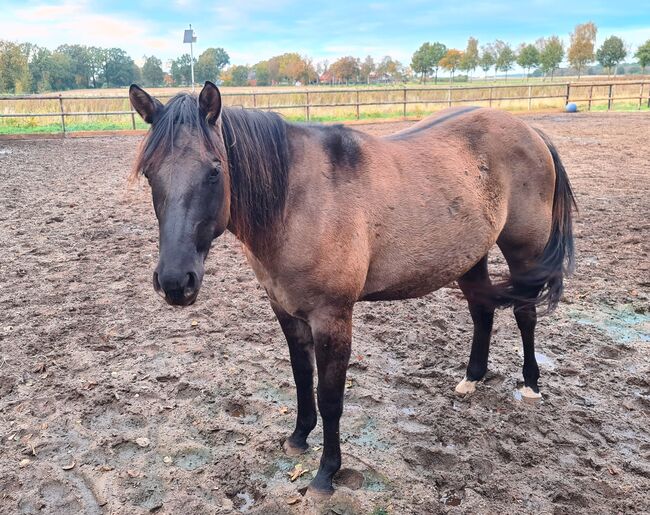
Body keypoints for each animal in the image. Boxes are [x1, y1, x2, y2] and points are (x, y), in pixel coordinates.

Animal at [129, 81, 576, 500]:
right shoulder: (286, 311)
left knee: (525, 313)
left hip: (524, 253)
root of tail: (531, 131)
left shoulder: (332, 317)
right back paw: (472, 378)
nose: (175, 282)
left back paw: (530, 385)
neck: (297, 201)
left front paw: (326, 473)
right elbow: (301, 377)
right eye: (150, 174)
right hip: (470, 256)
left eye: (214, 171)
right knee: (482, 310)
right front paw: (298, 437)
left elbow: (330, 396)